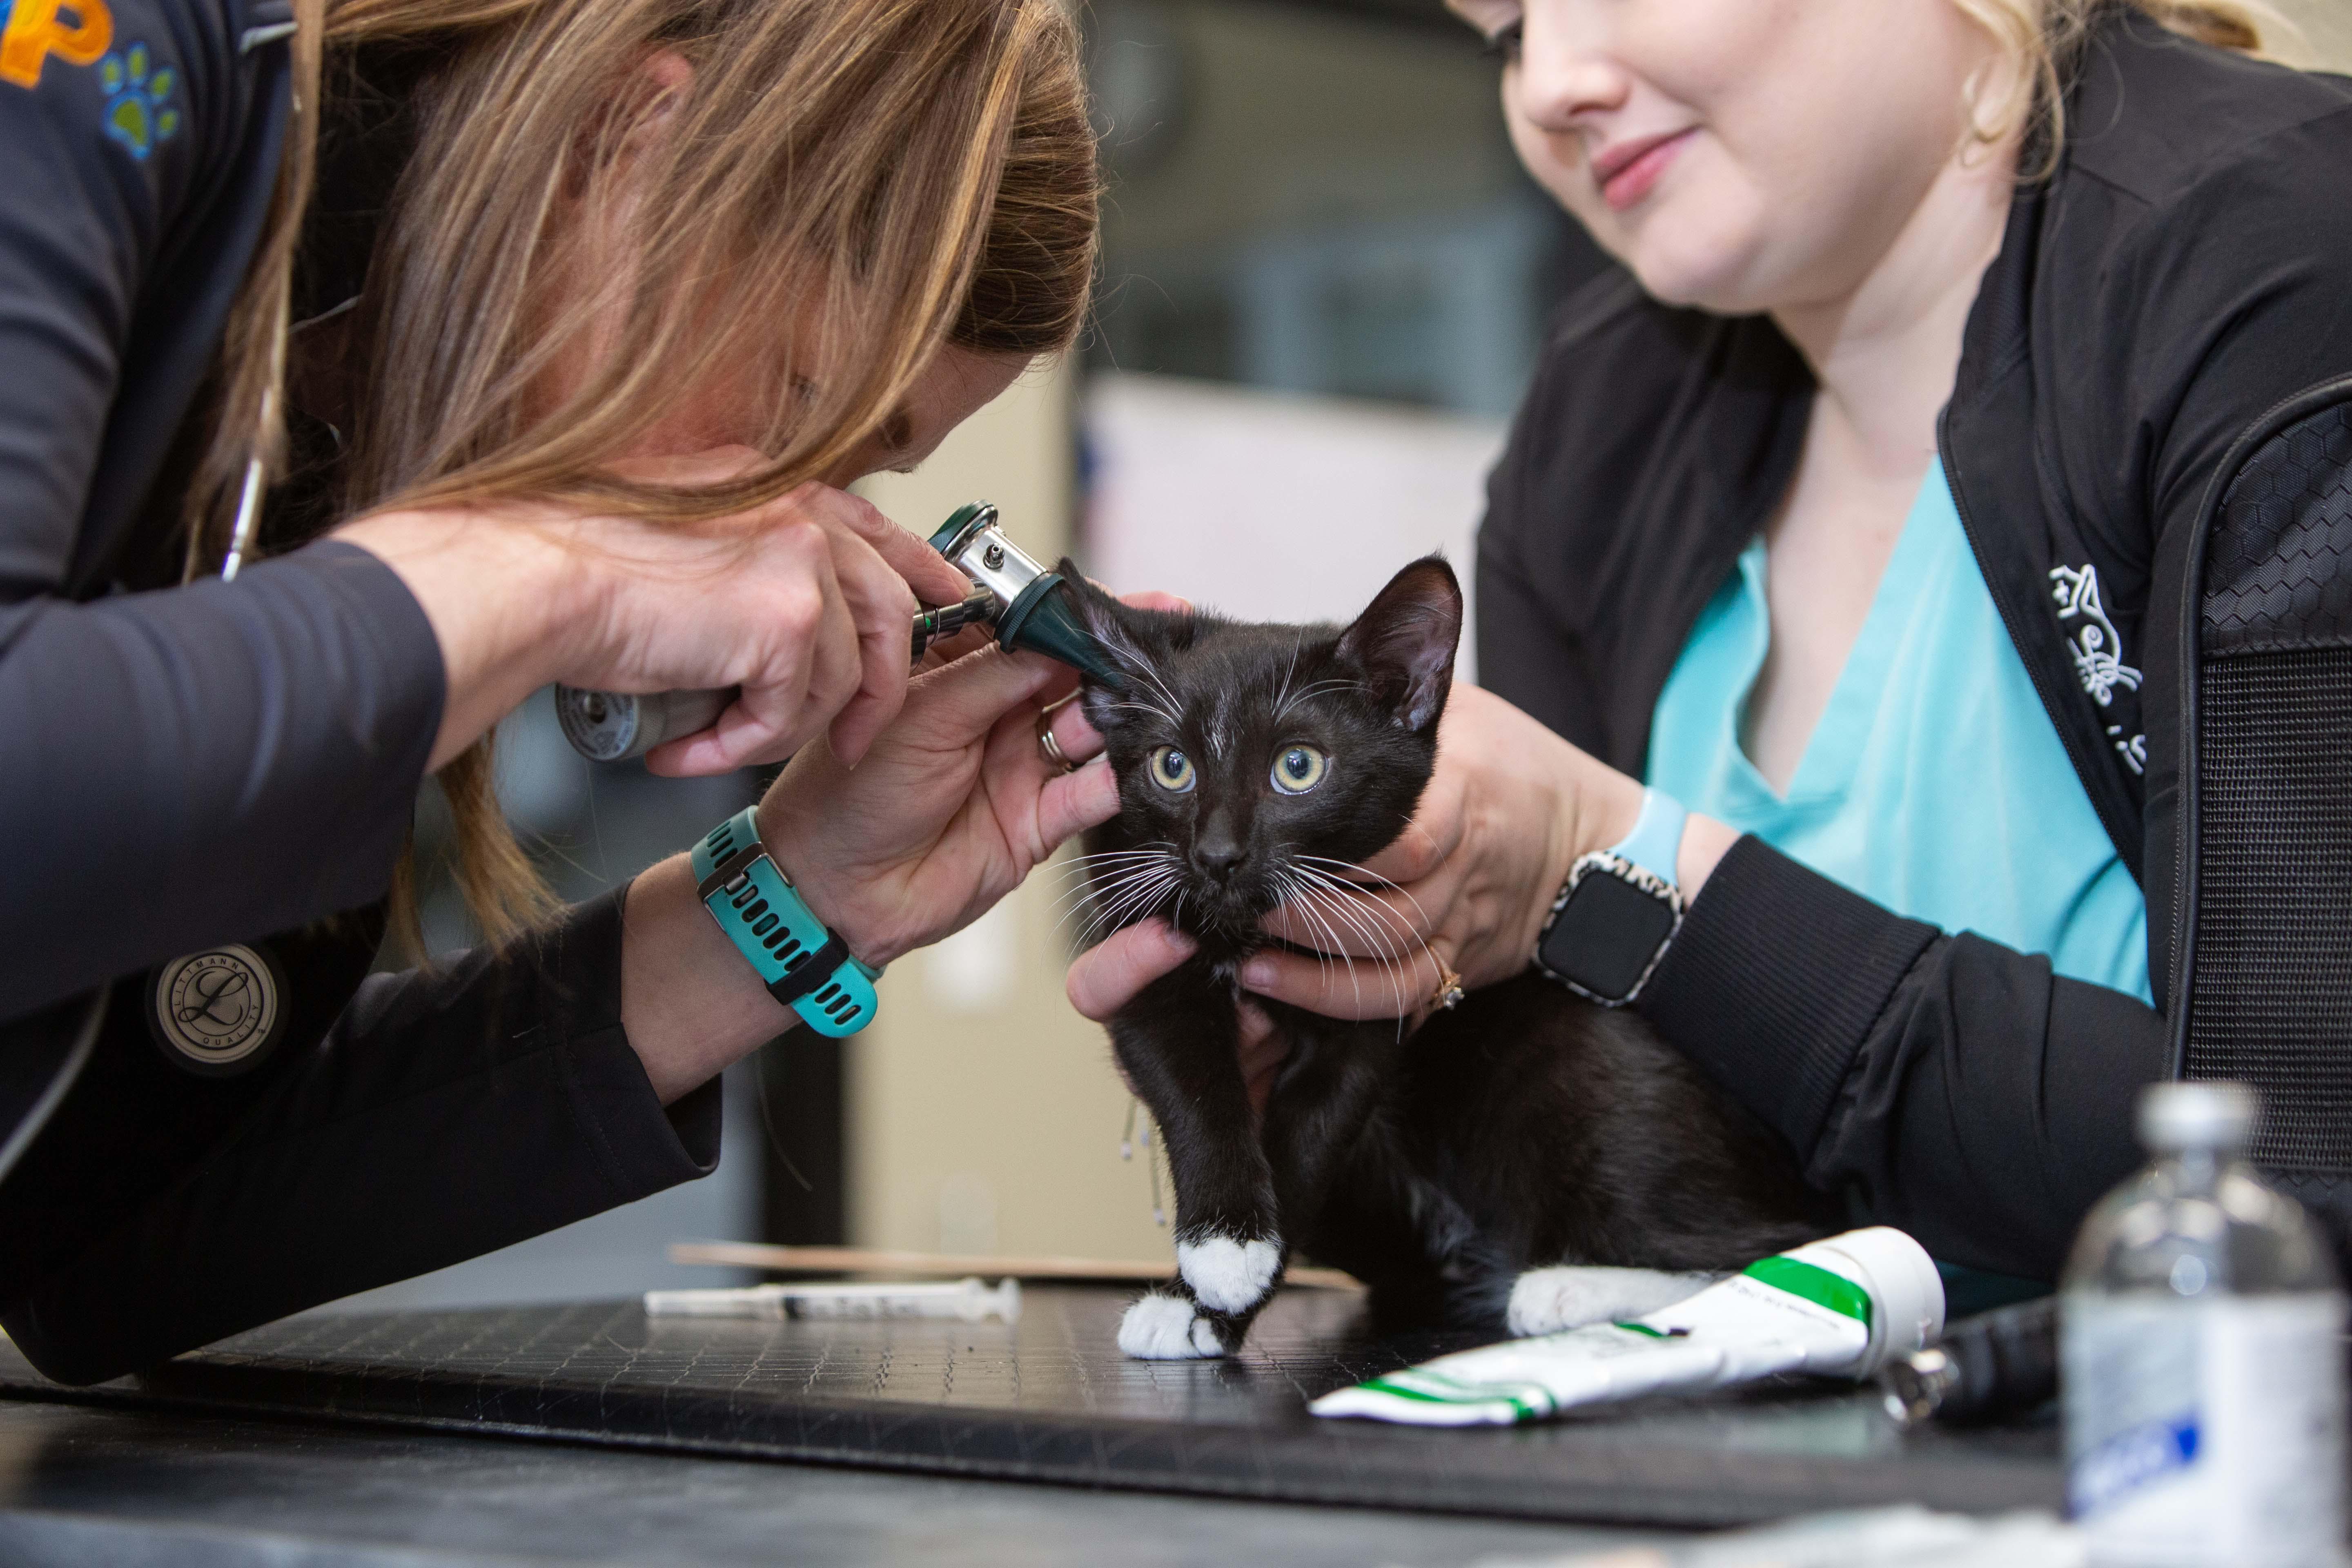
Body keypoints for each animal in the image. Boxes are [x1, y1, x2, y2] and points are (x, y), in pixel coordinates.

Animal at [1072, 557, 1834, 1354]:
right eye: (1172, 767)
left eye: (1299, 767)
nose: (1218, 856)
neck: (1250, 930)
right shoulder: (1135, 944)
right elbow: (1191, 1086)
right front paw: (1212, 1281)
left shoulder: (1372, 993)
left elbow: (1313, 1137)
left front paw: (1225, 1278)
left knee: (1771, 1247)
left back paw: (1568, 1289)